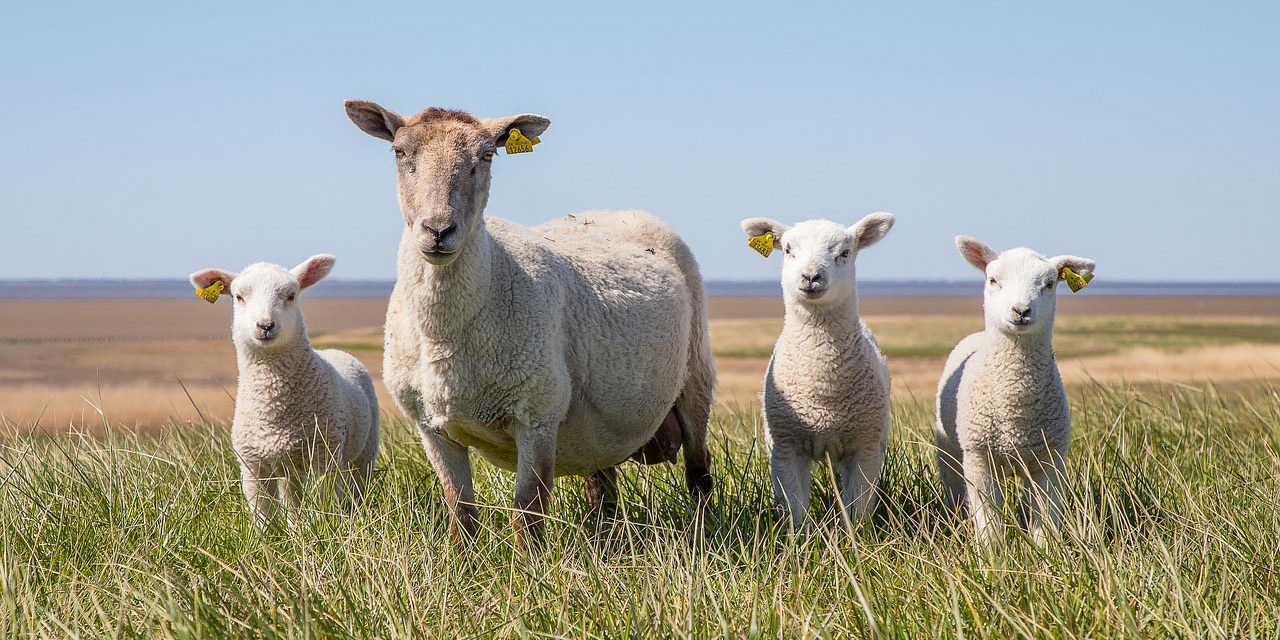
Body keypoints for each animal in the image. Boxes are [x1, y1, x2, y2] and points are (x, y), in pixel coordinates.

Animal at [189, 255, 380, 526]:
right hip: (288, 466)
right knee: (292, 499)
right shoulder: (252, 465)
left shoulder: (323, 456)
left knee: (357, 485)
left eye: (291, 295)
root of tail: (335, 350)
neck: (274, 406)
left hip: (363, 451)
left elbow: (323, 502)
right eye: (238, 297)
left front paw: (321, 528)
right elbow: (261, 515)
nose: (265, 325)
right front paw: (267, 537)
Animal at [344, 100, 715, 546]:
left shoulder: (537, 415)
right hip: (598, 428)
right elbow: (460, 512)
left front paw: (529, 566)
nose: (438, 230)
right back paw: (604, 544)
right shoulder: (431, 427)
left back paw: (702, 539)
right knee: (603, 488)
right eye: (400, 152)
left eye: (487, 156)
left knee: (699, 475)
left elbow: (528, 513)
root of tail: (617, 210)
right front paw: (463, 561)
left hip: (696, 375)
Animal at [739, 213, 895, 528]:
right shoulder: (785, 447)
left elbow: (858, 508)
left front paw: (855, 537)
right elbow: (794, 509)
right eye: (788, 250)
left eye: (844, 253)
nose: (810, 277)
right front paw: (798, 538)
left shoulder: (865, 446)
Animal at [934, 236, 1096, 543]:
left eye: (1049, 283)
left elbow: (1045, 517)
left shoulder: (1050, 459)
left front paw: (1045, 552)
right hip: (950, 452)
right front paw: (990, 552)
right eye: (993, 280)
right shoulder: (979, 458)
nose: (1021, 311)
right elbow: (987, 520)